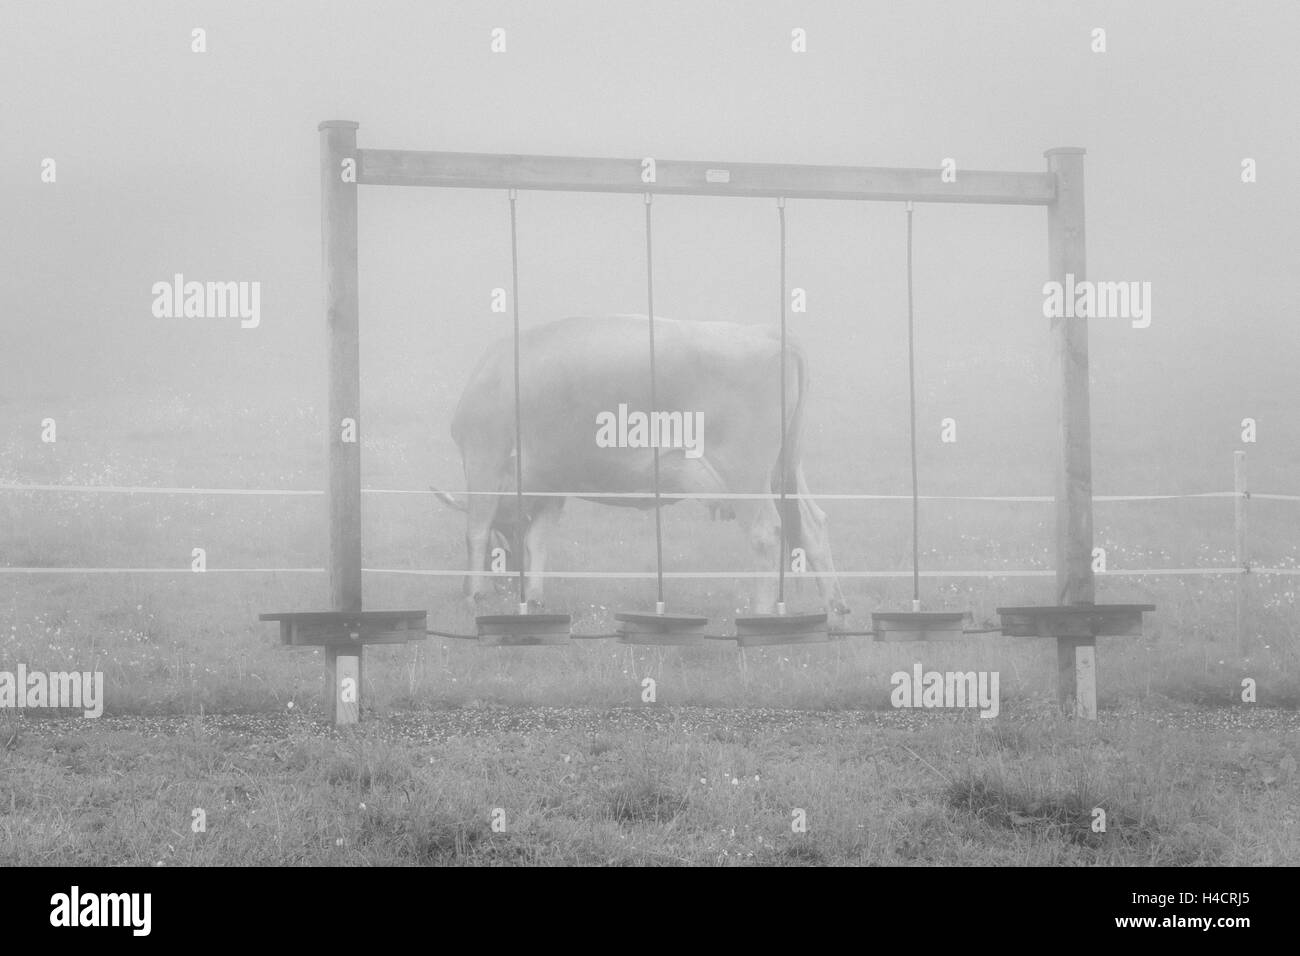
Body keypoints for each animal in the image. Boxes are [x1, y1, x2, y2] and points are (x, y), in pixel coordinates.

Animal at [444, 310, 852, 616]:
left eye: (501, 539)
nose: (510, 581)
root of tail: (767, 332)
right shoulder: (553, 481)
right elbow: (538, 540)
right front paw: (535, 595)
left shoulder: (483, 455)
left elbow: (475, 530)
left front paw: (474, 593)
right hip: (785, 469)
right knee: (813, 525)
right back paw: (835, 608)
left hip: (745, 473)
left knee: (766, 532)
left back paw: (761, 614)